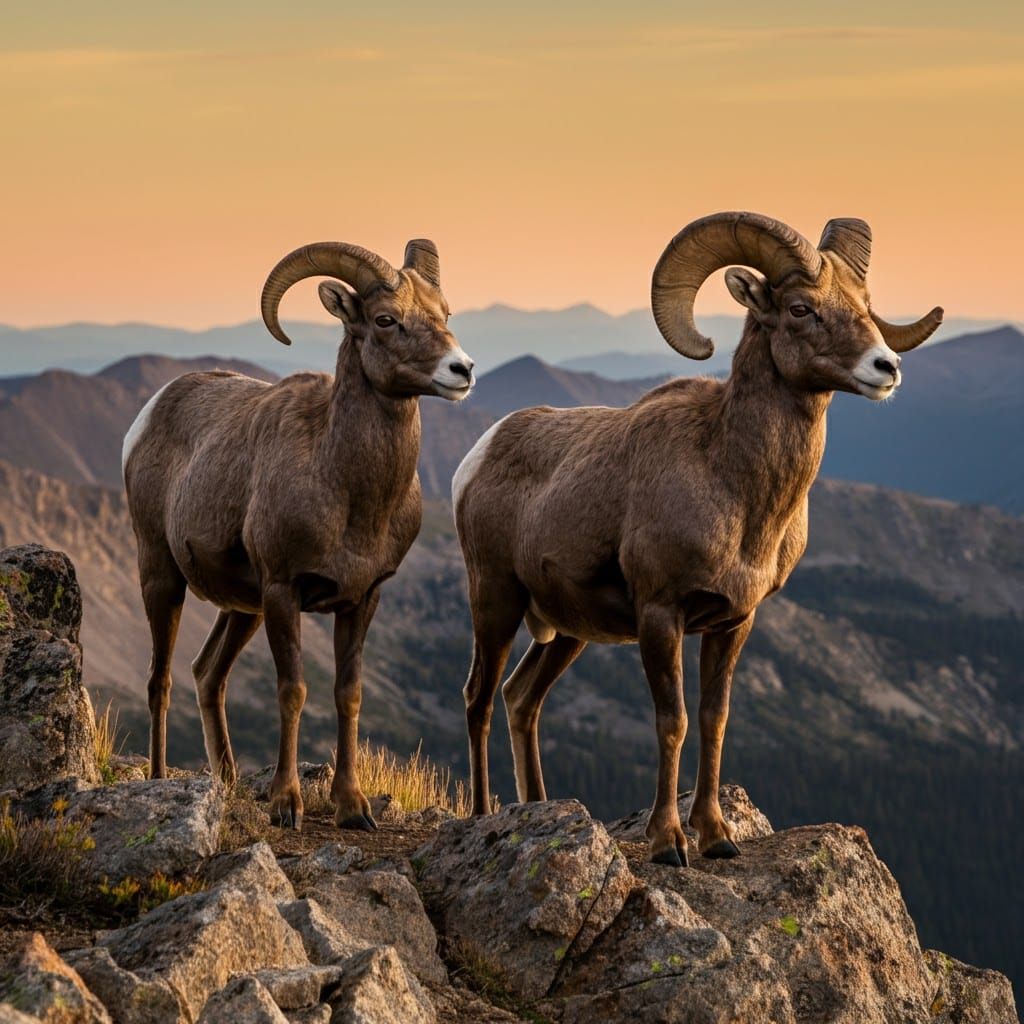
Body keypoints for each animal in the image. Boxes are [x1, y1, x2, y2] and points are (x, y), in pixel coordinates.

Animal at [123, 238, 474, 830]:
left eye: (444, 314)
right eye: (386, 319)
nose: (462, 369)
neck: (347, 491)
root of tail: (146, 416)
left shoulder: (362, 598)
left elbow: (347, 693)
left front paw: (353, 808)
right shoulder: (284, 591)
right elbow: (293, 690)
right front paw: (287, 803)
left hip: (242, 607)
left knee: (207, 674)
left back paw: (227, 782)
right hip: (163, 576)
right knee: (161, 679)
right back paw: (157, 779)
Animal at [452, 212, 942, 866]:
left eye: (864, 305)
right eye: (800, 309)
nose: (886, 368)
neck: (732, 484)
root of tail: (478, 456)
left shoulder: (734, 621)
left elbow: (714, 718)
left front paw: (716, 838)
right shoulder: (661, 616)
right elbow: (673, 720)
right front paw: (668, 842)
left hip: (567, 632)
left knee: (520, 699)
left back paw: (537, 806)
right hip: (496, 602)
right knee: (479, 697)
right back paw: (484, 815)